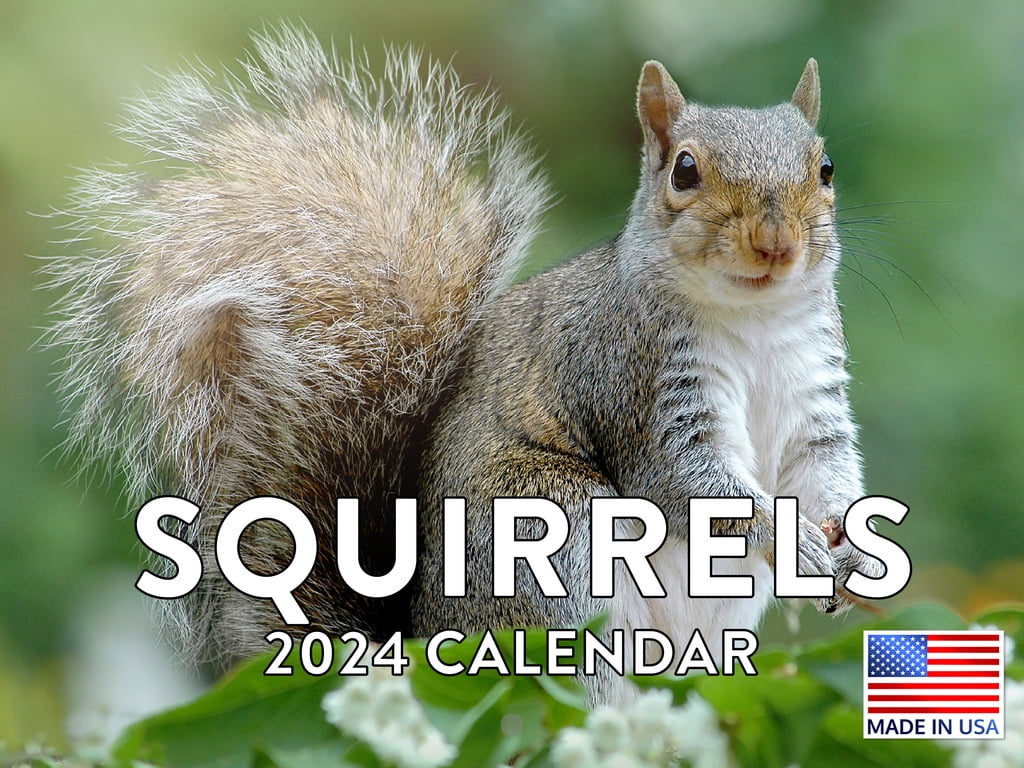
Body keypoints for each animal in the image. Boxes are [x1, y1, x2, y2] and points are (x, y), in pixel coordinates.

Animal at [49, 25, 879, 700]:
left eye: (827, 168)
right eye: (683, 171)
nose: (776, 245)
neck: (754, 321)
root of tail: (423, 645)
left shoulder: (815, 399)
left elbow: (824, 474)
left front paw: (850, 553)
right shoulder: (634, 385)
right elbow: (691, 486)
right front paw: (796, 542)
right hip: (553, 541)